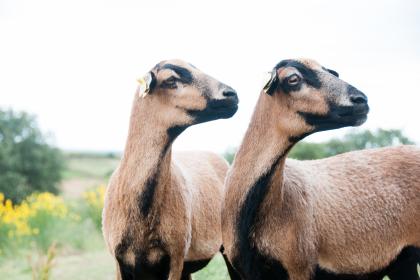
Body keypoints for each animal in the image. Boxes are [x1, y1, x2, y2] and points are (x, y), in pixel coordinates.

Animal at [221, 58, 418, 280]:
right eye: (293, 79)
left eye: (332, 73)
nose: (361, 100)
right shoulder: (240, 270)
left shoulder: (300, 266)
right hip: (403, 261)